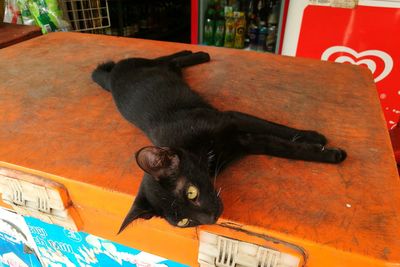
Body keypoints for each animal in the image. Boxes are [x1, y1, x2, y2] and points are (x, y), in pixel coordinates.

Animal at [92, 49, 346, 232]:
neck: (205, 153)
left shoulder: (232, 119)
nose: (211, 218)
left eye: (191, 193)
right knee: (171, 64)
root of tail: (111, 78)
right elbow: (280, 146)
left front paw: (319, 141)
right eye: (183, 221)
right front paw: (325, 151)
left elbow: (277, 131)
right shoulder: (247, 140)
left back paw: (198, 53)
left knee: (165, 59)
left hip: (149, 65)